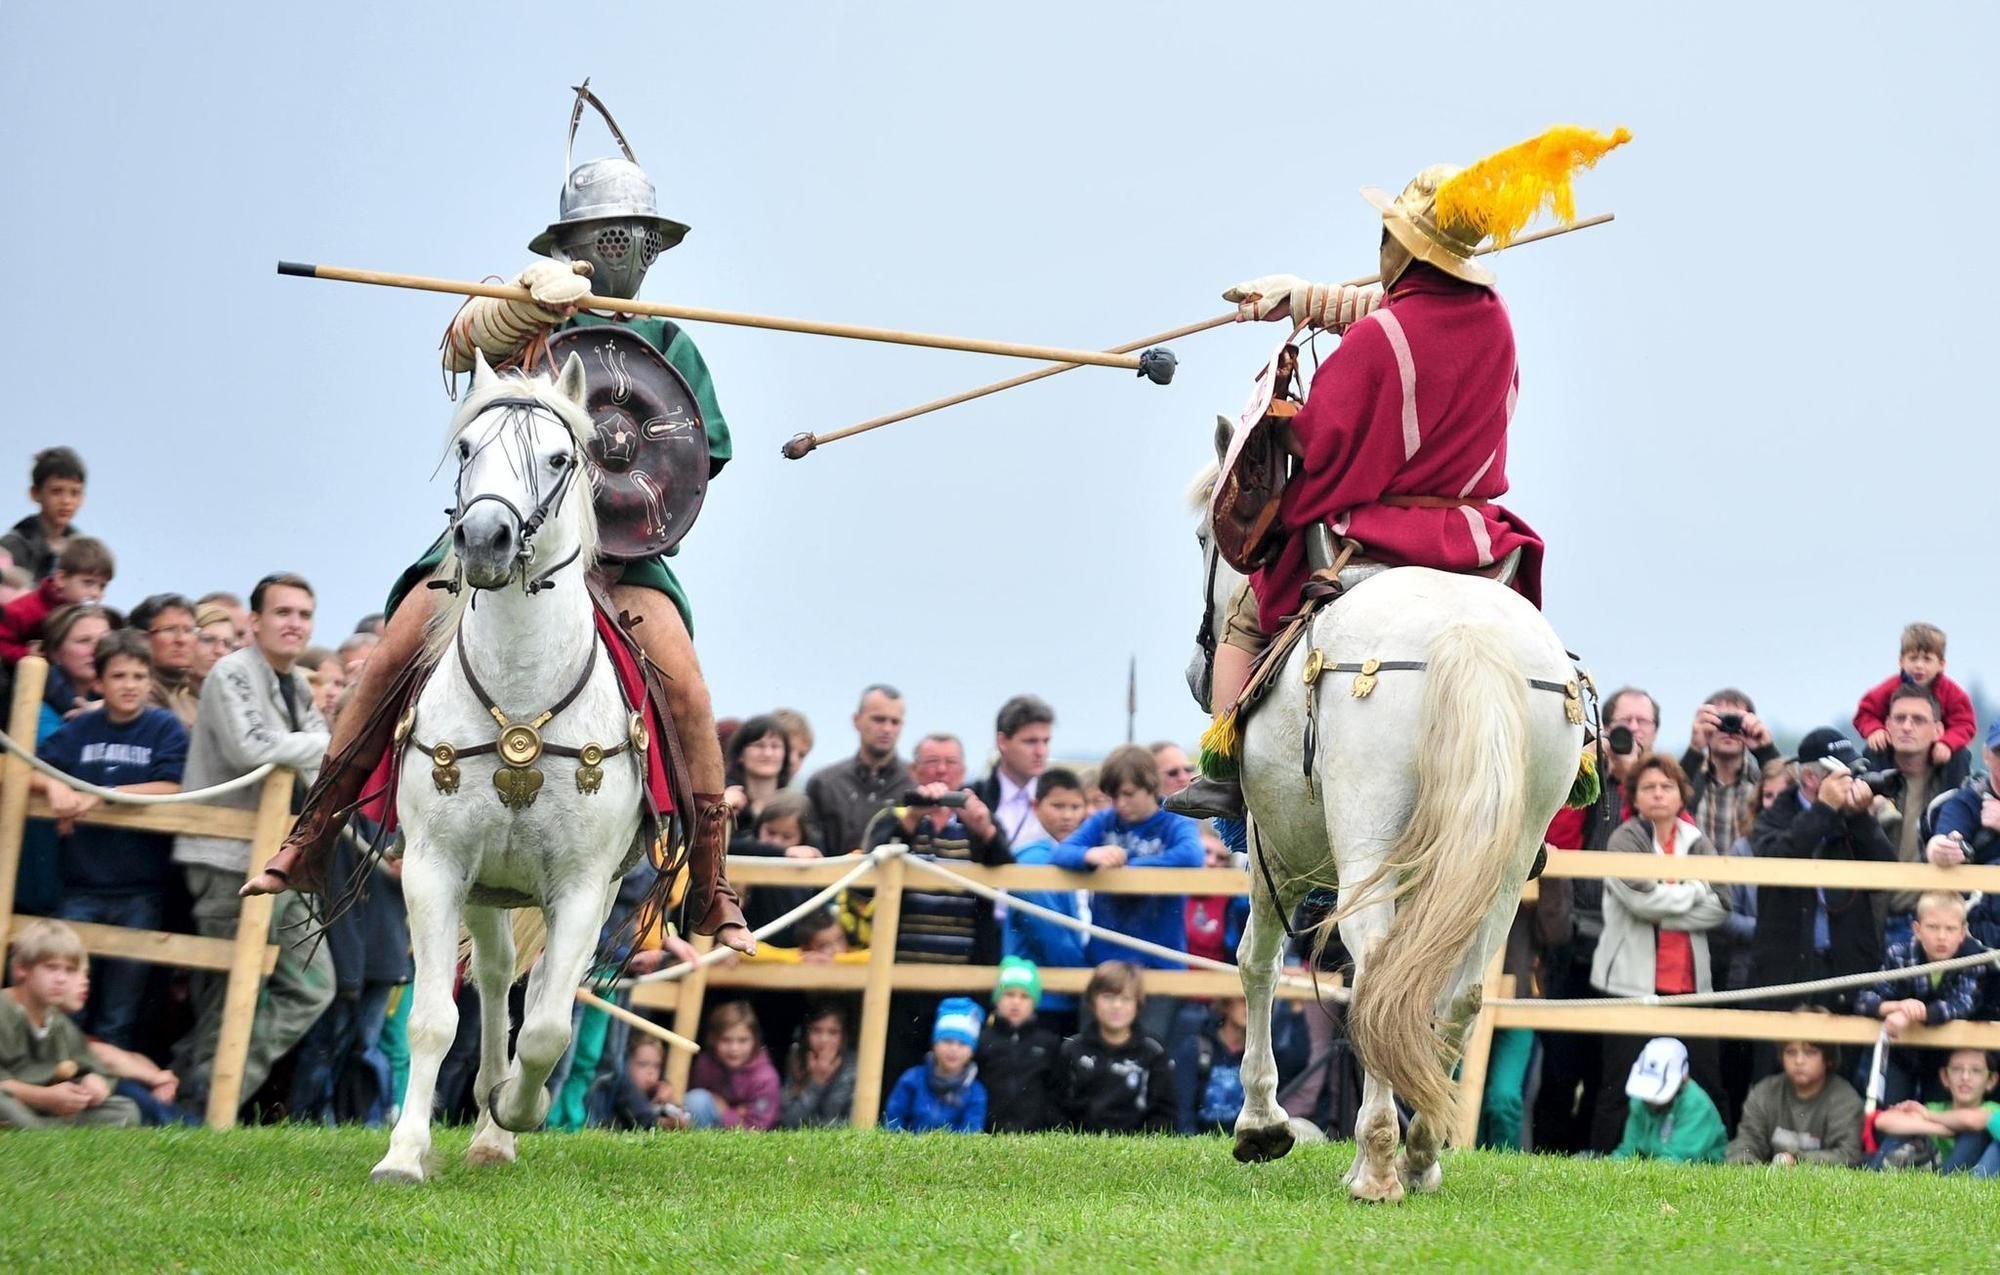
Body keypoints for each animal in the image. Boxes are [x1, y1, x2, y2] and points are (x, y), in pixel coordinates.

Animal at [376, 351, 648, 1191]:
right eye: (467, 448)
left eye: (560, 458)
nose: (485, 538)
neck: (522, 702)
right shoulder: (434, 867)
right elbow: (434, 1018)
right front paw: (404, 1151)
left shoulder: (584, 886)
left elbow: (551, 1026)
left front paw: (518, 1109)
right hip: (485, 886)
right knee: (495, 977)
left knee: (535, 992)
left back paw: (499, 1121)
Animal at [1184, 415, 1576, 1207]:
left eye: (1204, 540)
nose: (1194, 674)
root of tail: (1466, 636)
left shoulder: (1271, 849)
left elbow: (1255, 962)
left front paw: (1260, 1122)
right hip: (1504, 861)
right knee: (1459, 990)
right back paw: (1419, 1153)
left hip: (1366, 843)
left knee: (1373, 971)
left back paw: (1375, 1164)